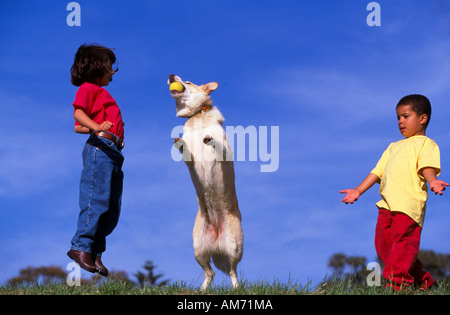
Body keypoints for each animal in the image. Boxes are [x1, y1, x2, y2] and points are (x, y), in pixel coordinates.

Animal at [168, 74, 243, 292]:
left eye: (188, 82)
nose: (171, 75)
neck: (197, 118)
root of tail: (217, 243)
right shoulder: (189, 160)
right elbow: (186, 151)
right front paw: (180, 143)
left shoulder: (225, 153)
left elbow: (218, 145)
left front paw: (209, 140)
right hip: (198, 249)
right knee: (209, 273)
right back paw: (201, 290)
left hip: (234, 246)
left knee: (233, 272)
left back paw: (237, 288)